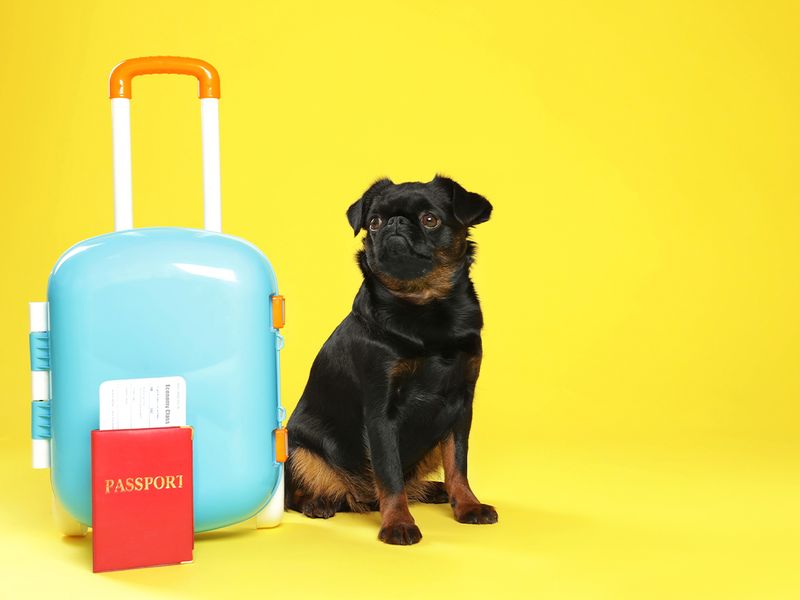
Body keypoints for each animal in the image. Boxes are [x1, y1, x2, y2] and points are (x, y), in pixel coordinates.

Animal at [284, 175, 496, 544]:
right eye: (375, 222)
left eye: (430, 219)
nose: (394, 223)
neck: (425, 305)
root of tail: (361, 498)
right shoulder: (381, 412)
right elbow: (389, 473)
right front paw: (398, 523)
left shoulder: (461, 406)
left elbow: (458, 464)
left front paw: (468, 505)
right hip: (297, 449)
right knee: (296, 493)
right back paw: (317, 502)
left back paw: (435, 490)